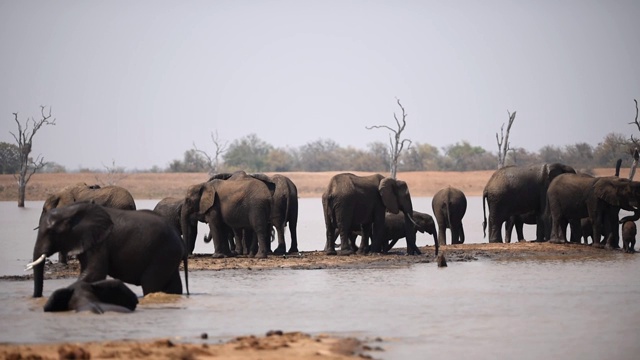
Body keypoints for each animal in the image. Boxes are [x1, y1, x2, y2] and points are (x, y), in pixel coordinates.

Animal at [28, 202, 189, 298]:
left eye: (51, 232)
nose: (36, 297)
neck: (72, 211)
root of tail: (180, 239)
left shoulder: (101, 242)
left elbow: (94, 273)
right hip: (169, 255)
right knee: (173, 285)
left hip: (164, 253)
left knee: (150, 283)